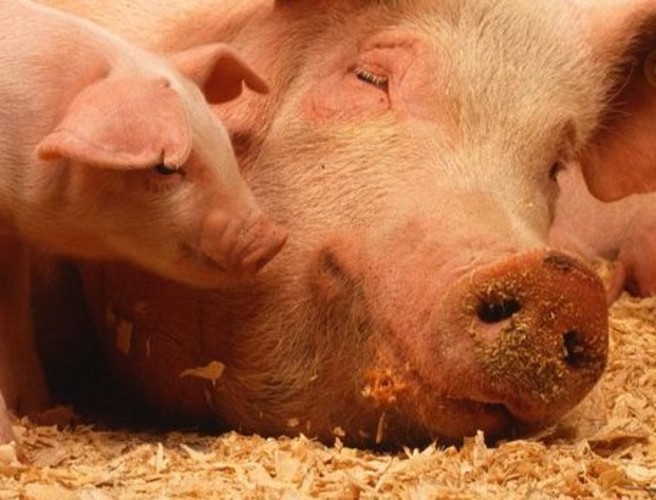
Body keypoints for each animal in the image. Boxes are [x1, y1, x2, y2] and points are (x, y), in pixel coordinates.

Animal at [0, 0, 287, 443]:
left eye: (222, 138)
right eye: (165, 166)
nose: (271, 238)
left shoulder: (12, 242)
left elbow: (15, 326)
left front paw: (49, 415)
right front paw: (11, 445)